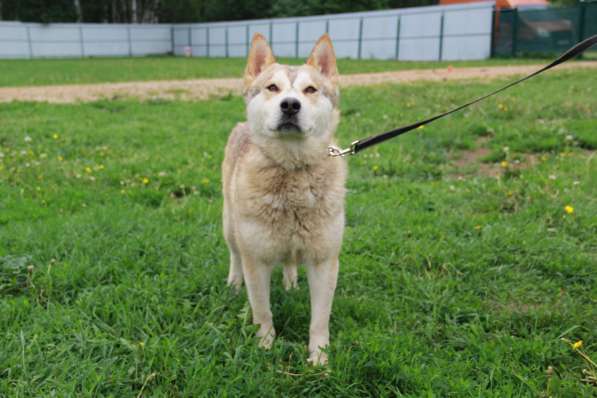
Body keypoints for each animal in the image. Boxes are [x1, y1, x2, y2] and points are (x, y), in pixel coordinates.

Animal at [221, 32, 346, 366]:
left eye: (310, 89)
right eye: (272, 87)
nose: (290, 104)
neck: (292, 174)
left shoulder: (324, 260)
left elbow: (320, 320)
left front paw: (319, 360)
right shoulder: (256, 259)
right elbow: (262, 311)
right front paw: (265, 348)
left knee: (290, 261)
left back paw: (290, 283)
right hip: (230, 226)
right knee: (234, 255)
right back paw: (233, 283)